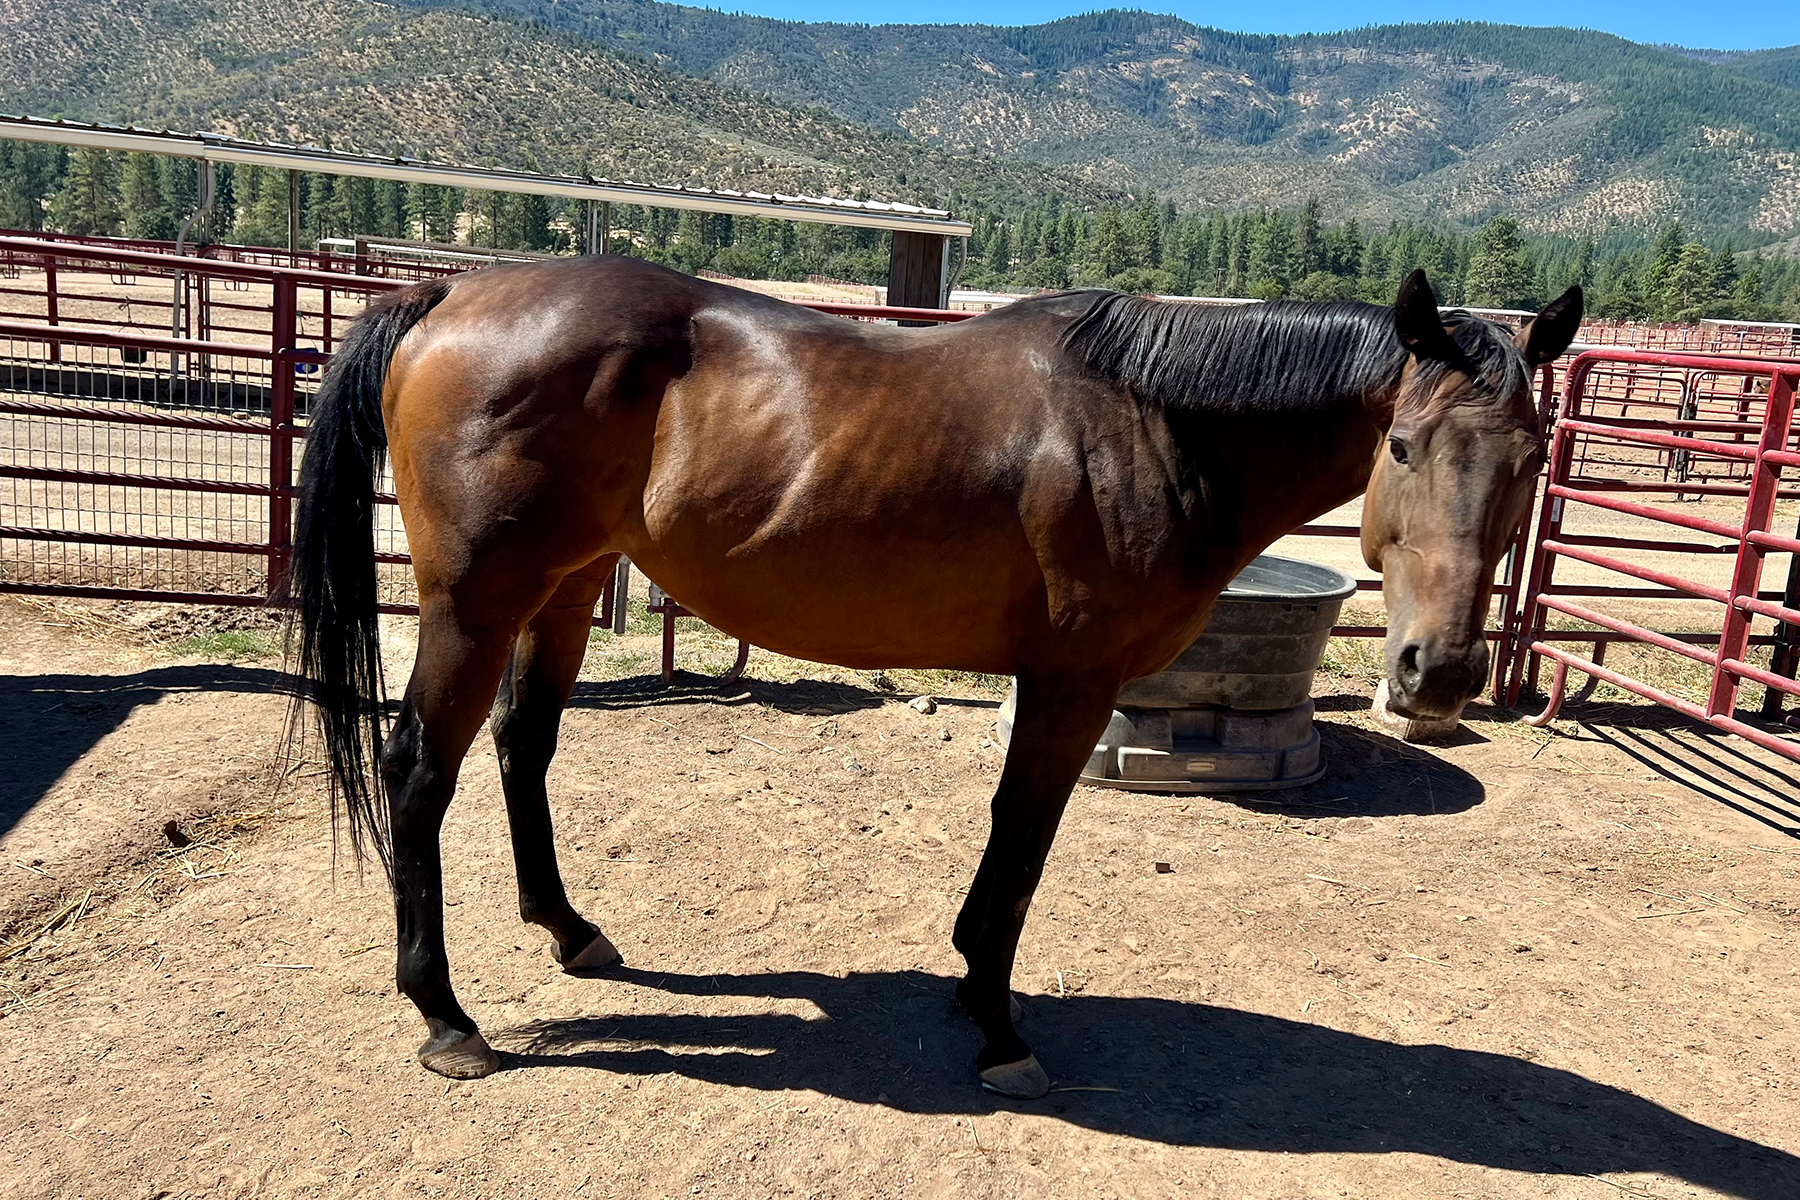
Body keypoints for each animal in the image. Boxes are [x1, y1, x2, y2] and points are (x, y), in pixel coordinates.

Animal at [287, 260, 1581, 1097]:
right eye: (1402, 445)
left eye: (1531, 460)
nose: (1439, 672)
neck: (1155, 424)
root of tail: (449, 296)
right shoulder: (1070, 681)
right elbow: (1021, 843)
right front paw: (999, 1025)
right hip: (474, 604)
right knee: (420, 769)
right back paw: (445, 1015)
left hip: (563, 587)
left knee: (525, 747)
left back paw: (569, 931)